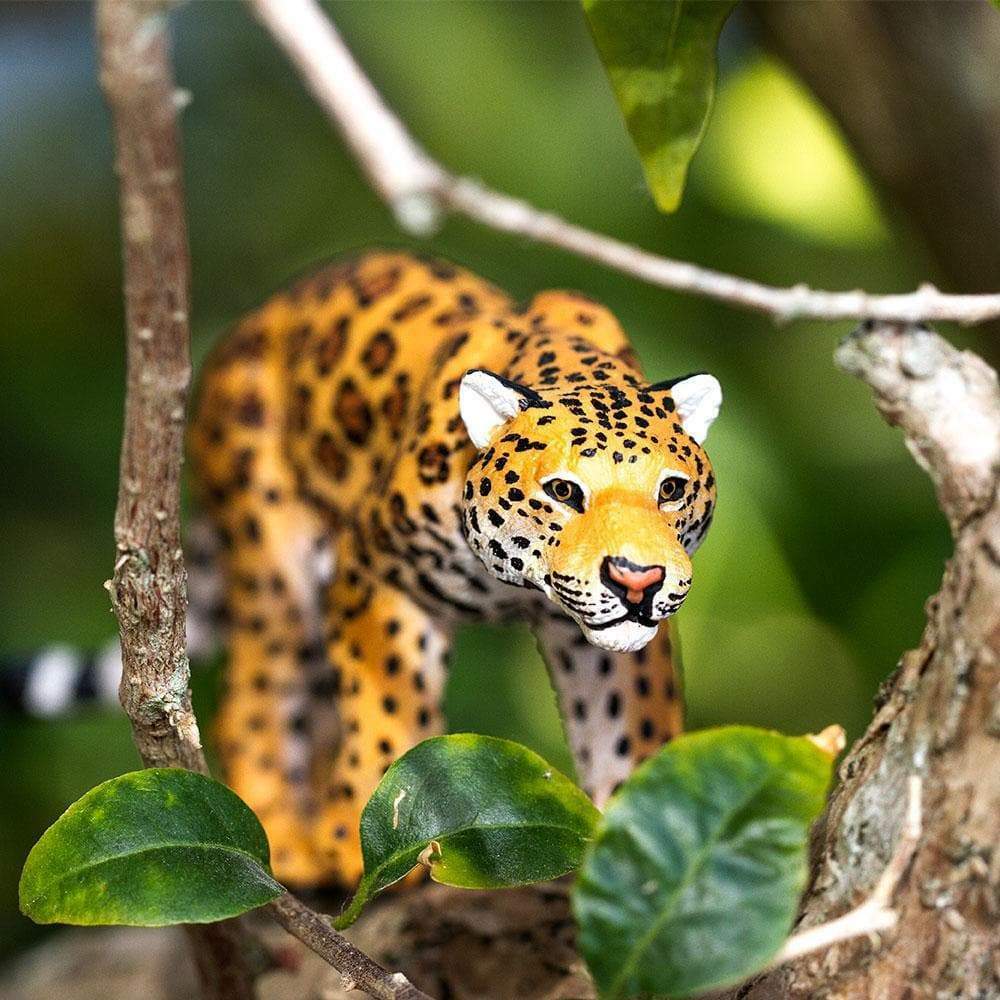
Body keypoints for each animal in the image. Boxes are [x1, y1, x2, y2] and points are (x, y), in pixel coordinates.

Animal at [188, 249, 721, 887]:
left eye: (671, 491)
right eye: (564, 492)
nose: (637, 580)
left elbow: (628, 726)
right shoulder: (377, 572)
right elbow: (385, 708)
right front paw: (363, 844)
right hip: (271, 562)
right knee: (258, 694)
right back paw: (285, 841)